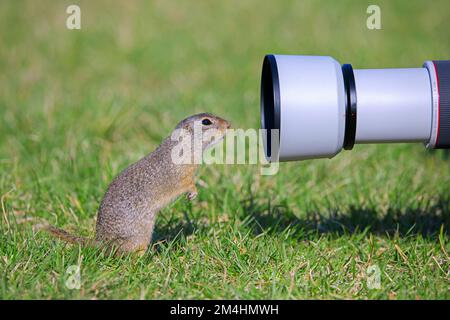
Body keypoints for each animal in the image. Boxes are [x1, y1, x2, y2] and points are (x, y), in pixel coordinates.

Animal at [43, 112, 230, 255]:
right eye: (206, 121)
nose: (228, 125)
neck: (185, 145)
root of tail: (102, 242)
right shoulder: (181, 175)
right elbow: (187, 183)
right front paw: (193, 192)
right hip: (140, 235)